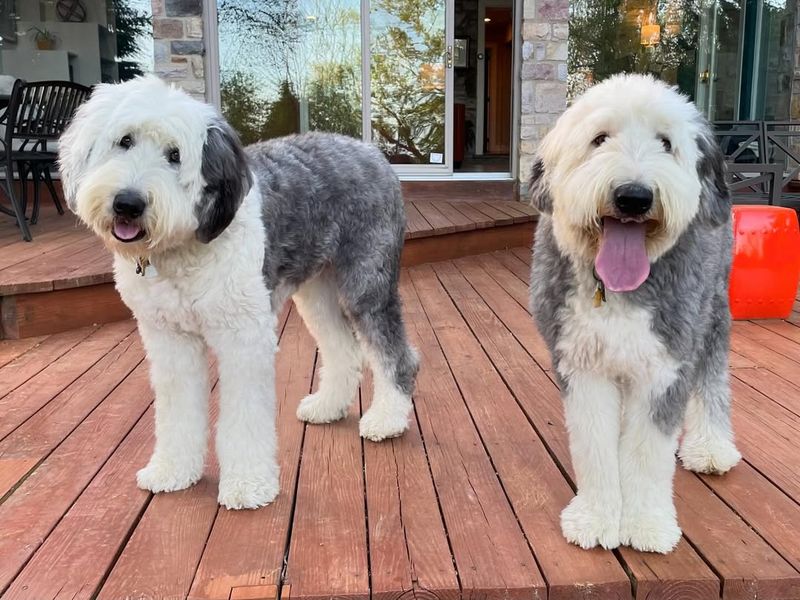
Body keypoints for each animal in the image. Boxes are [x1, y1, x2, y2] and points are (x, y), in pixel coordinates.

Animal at [57, 72, 418, 508]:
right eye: (124, 141)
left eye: (175, 155)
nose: (128, 203)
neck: (183, 250)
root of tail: (370, 150)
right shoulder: (170, 339)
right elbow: (178, 411)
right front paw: (172, 471)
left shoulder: (243, 337)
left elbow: (244, 418)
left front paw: (248, 484)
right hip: (318, 290)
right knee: (343, 349)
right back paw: (327, 406)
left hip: (365, 281)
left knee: (393, 352)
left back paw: (387, 419)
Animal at [532, 74, 744, 552]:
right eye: (599, 139)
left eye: (666, 143)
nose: (633, 196)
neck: (617, 290)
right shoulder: (583, 364)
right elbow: (594, 444)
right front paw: (596, 517)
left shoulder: (663, 367)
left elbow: (648, 453)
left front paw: (647, 523)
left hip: (712, 313)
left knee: (712, 378)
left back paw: (711, 448)